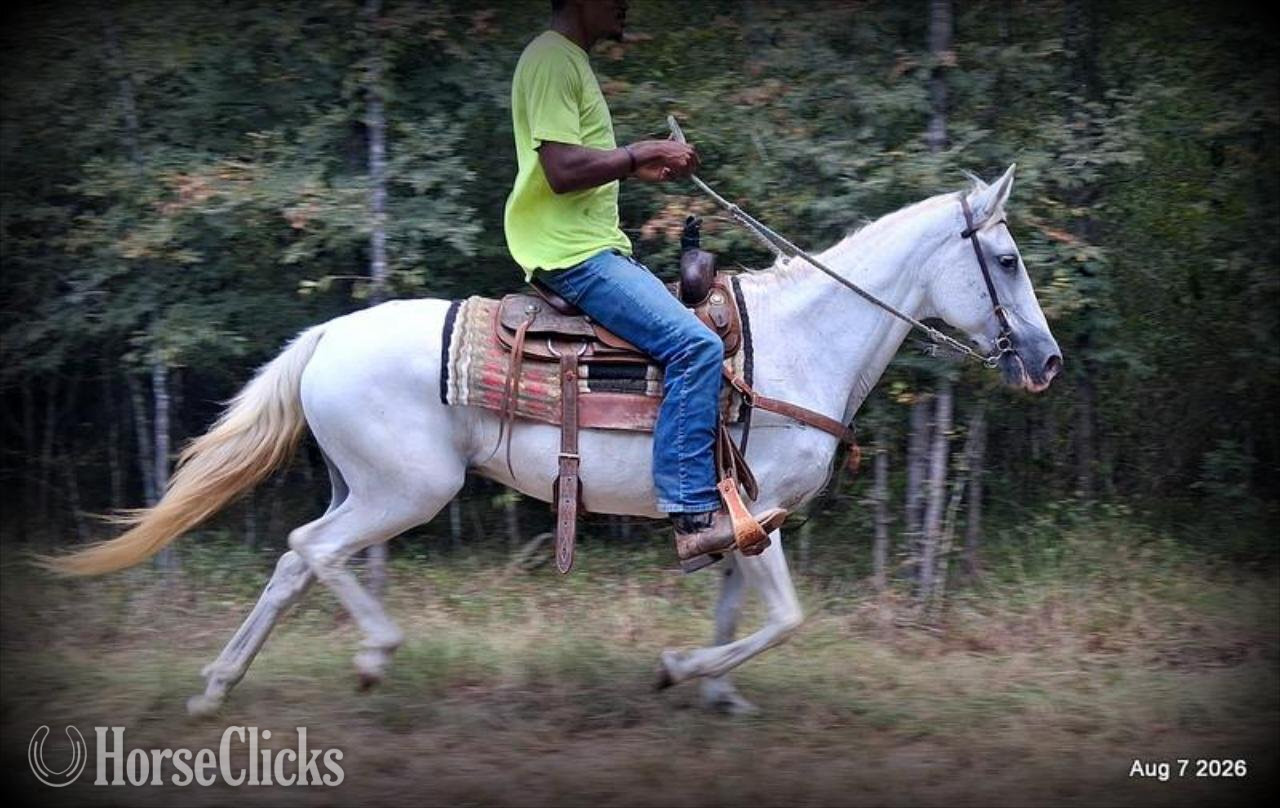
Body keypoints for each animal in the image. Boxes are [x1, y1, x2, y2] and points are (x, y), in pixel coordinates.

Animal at [46, 164, 1061, 716]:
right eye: (1007, 260)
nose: (1047, 360)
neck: (800, 343)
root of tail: (324, 337)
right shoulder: (758, 506)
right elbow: (781, 619)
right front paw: (679, 670)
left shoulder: (740, 517)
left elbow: (738, 608)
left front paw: (717, 692)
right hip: (405, 490)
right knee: (313, 548)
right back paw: (372, 654)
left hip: (362, 484)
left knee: (296, 562)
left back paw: (217, 686)